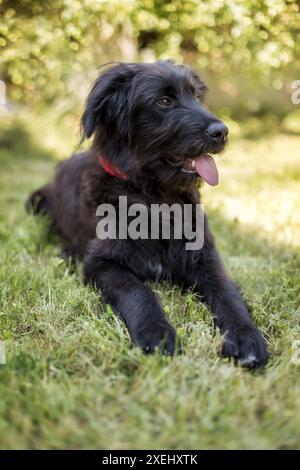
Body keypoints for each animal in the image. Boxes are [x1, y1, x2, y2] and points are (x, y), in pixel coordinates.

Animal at [27, 59, 268, 368]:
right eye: (164, 101)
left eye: (197, 97)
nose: (222, 132)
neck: (155, 199)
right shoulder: (103, 263)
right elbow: (137, 291)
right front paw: (157, 334)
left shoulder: (205, 256)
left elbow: (226, 292)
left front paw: (245, 335)